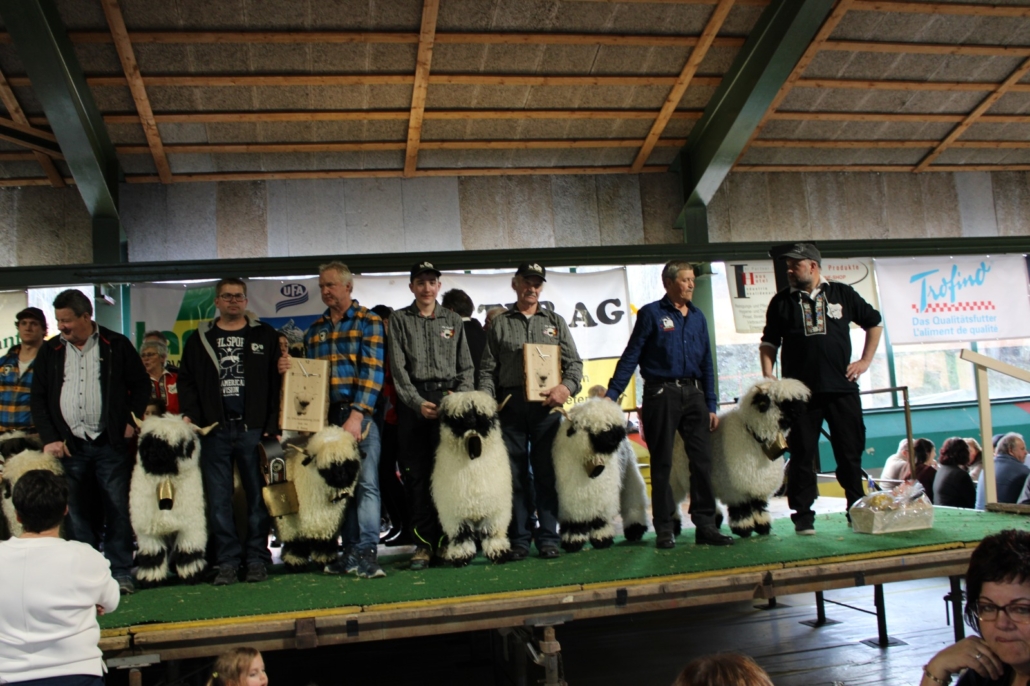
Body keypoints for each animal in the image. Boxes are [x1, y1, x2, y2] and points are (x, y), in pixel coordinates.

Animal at [130, 415, 213, 585]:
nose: (154, 455)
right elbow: (153, 555)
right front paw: (150, 578)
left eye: (182, 445)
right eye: (148, 440)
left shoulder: (191, 527)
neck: (165, 478)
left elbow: (189, 552)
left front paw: (192, 575)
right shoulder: (147, 530)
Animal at [274, 425, 363, 570]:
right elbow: (295, 541)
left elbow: (324, 540)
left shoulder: (330, 519)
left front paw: (325, 559)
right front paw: (295, 560)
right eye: (321, 461)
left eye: (349, 461)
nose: (342, 476)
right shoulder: (288, 520)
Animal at [432, 391, 512, 566]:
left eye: (482, 417)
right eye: (457, 419)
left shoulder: (495, 511)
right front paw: (460, 557)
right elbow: (461, 537)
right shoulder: (455, 515)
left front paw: (498, 554)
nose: (471, 423)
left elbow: (493, 533)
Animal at [551, 399, 650, 551]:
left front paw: (602, 539)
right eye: (590, 430)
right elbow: (575, 522)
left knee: (633, 500)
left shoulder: (603, 496)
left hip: (629, 471)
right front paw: (573, 540)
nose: (616, 439)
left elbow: (600, 520)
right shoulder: (569, 499)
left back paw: (635, 529)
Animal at [670, 378, 810, 537]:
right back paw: (674, 526)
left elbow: (758, 506)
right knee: (673, 501)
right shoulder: (735, 488)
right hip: (673, 478)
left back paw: (715, 520)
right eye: (781, 402)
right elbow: (741, 509)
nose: (801, 412)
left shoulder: (759, 484)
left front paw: (762, 526)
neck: (753, 436)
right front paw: (744, 528)